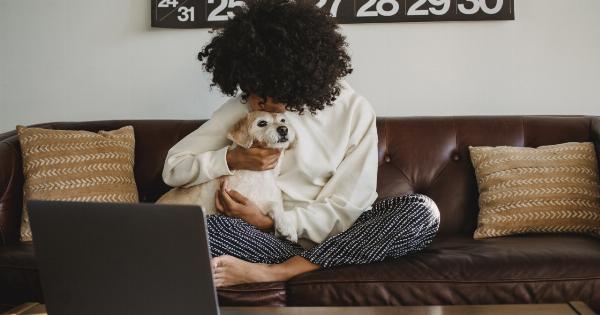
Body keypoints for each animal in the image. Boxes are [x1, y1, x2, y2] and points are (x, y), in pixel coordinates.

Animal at [155, 111, 296, 242]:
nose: (284, 129)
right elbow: (272, 204)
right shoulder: (245, 199)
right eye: (262, 123)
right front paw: (286, 227)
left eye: (283, 120)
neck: (262, 175)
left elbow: (277, 205)